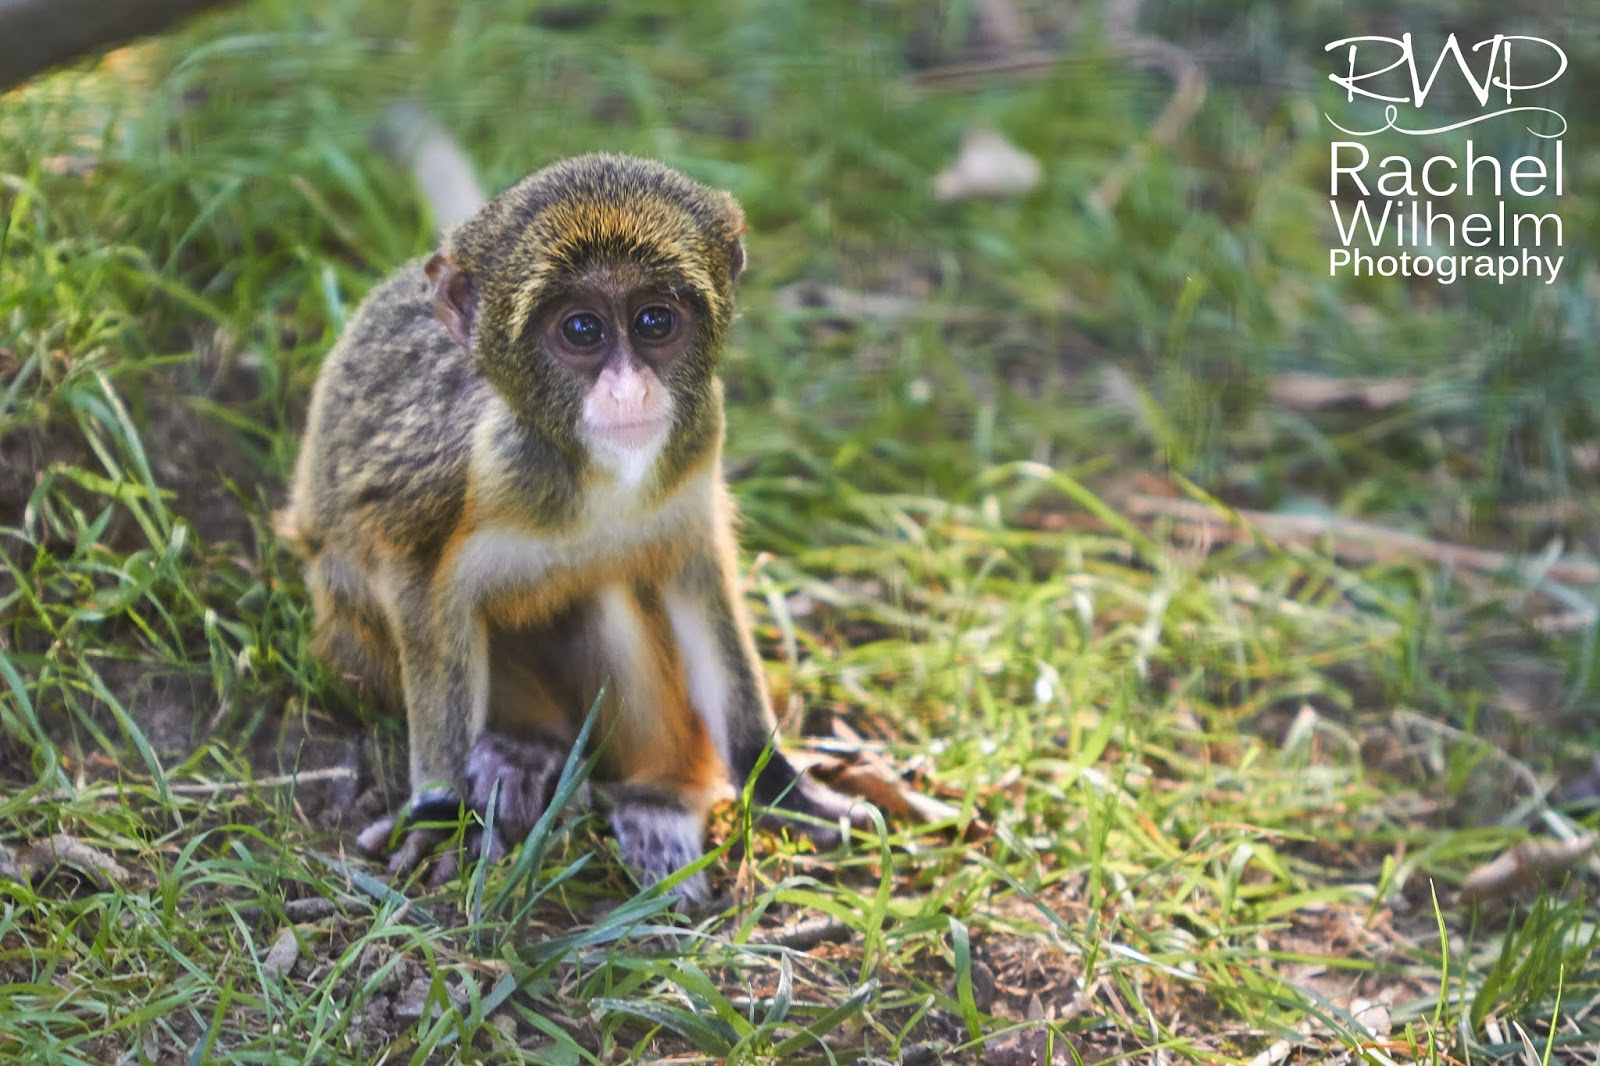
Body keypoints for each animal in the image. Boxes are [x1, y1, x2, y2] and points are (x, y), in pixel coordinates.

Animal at [279, 153, 864, 901]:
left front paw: (781, 783)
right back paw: (523, 750)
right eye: (582, 331)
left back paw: (655, 798)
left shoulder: (698, 446)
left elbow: (697, 582)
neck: (590, 473)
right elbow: (418, 588)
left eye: (654, 320)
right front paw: (439, 812)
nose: (628, 390)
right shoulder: (450, 479)